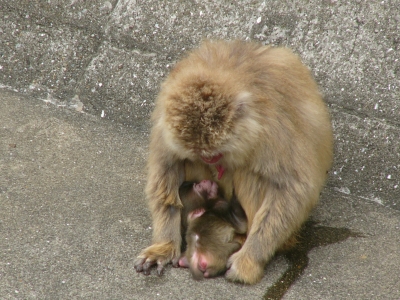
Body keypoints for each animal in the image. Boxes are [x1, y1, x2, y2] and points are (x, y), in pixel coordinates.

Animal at [133, 39, 332, 284]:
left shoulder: (274, 127)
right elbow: (167, 168)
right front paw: (164, 246)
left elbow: (292, 188)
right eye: (203, 154)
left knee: (251, 174)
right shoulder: (166, 120)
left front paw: (249, 260)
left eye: (216, 152)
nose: (211, 160)